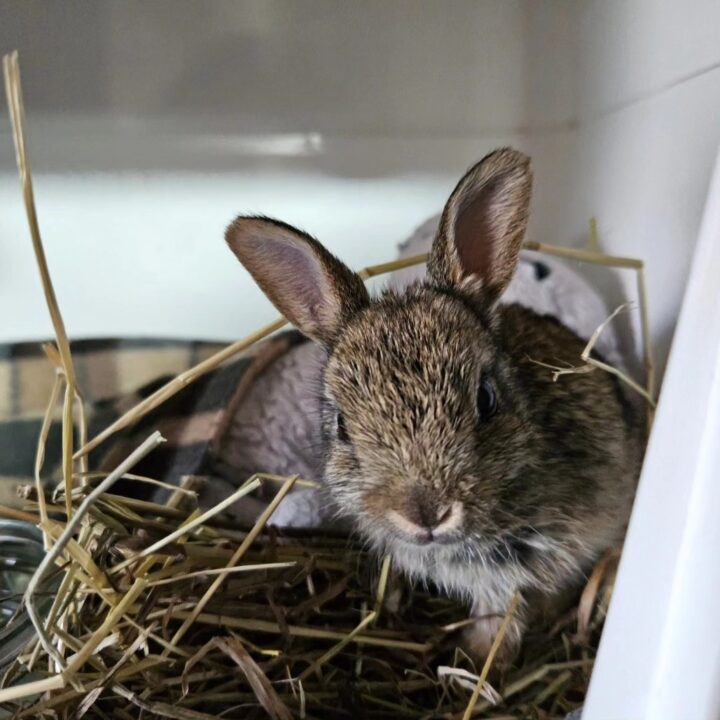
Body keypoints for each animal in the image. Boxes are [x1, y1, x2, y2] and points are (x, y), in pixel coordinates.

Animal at [224, 148, 644, 665]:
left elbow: (499, 615)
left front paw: (478, 658)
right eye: (341, 425)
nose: (425, 514)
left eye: (486, 399)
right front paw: (392, 604)